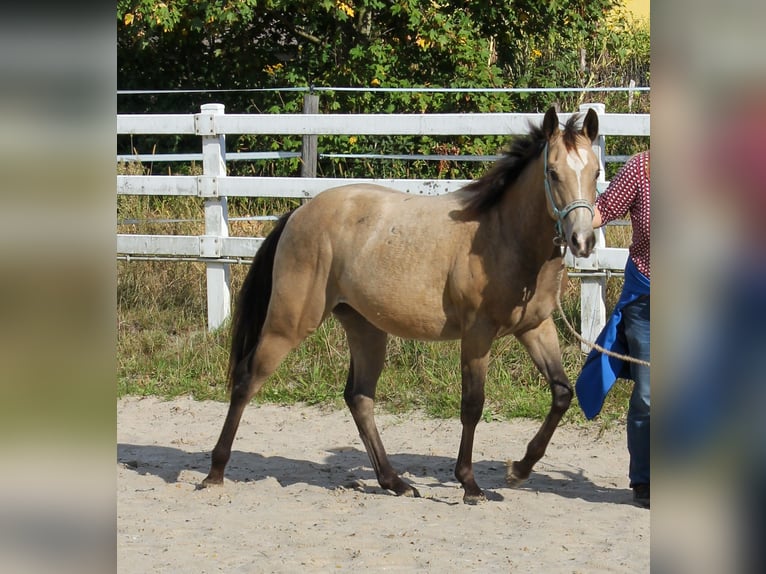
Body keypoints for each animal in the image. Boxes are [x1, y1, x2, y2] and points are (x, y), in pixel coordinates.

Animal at [201, 106, 600, 504]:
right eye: (553, 172)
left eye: (596, 172)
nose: (582, 240)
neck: (504, 237)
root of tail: (298, 215)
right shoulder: (477, 335)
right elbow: (472, 405)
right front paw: (470, 484)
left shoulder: (534, 327)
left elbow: (562, 393)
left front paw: (519, 469)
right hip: (289, 324)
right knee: (247, 380)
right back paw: (214, 472)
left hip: (366, 328)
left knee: (359, 397)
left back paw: (394, 481)